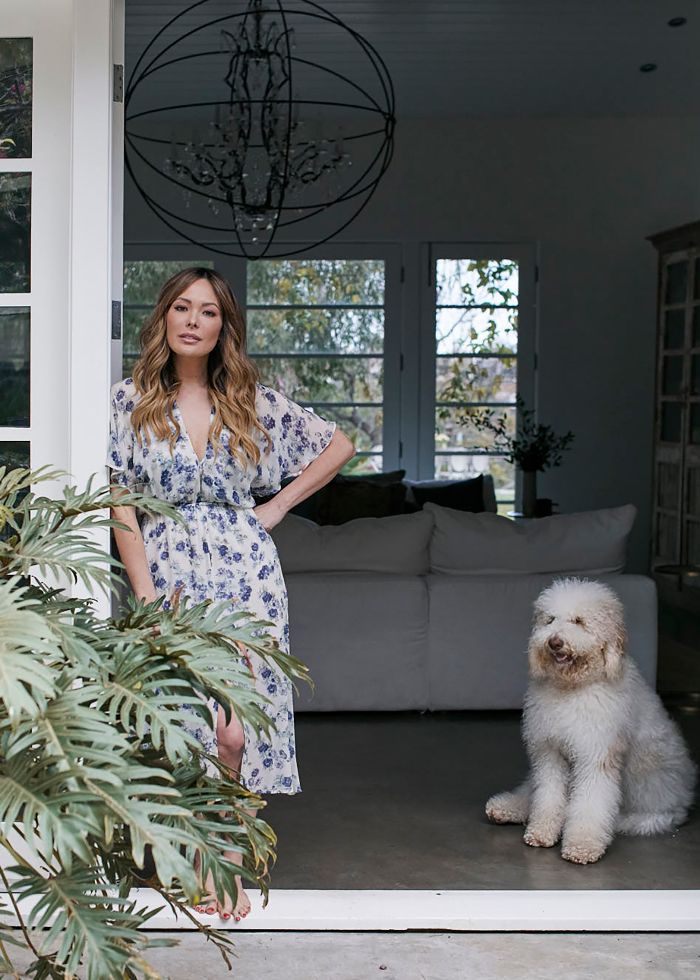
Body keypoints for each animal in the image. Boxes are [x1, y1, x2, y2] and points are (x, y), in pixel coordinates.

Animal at [486, 580, 696, 860]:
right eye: (550, 619)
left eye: (579, 621)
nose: (554, 642)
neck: (573, 689)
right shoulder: (550, 752)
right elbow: (546, 795)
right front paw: (541, 831)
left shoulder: (595, 756)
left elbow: (590, 802)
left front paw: (582, 845)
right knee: (530, 789)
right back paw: (507, 807)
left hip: (653, 792)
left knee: (652, 818)